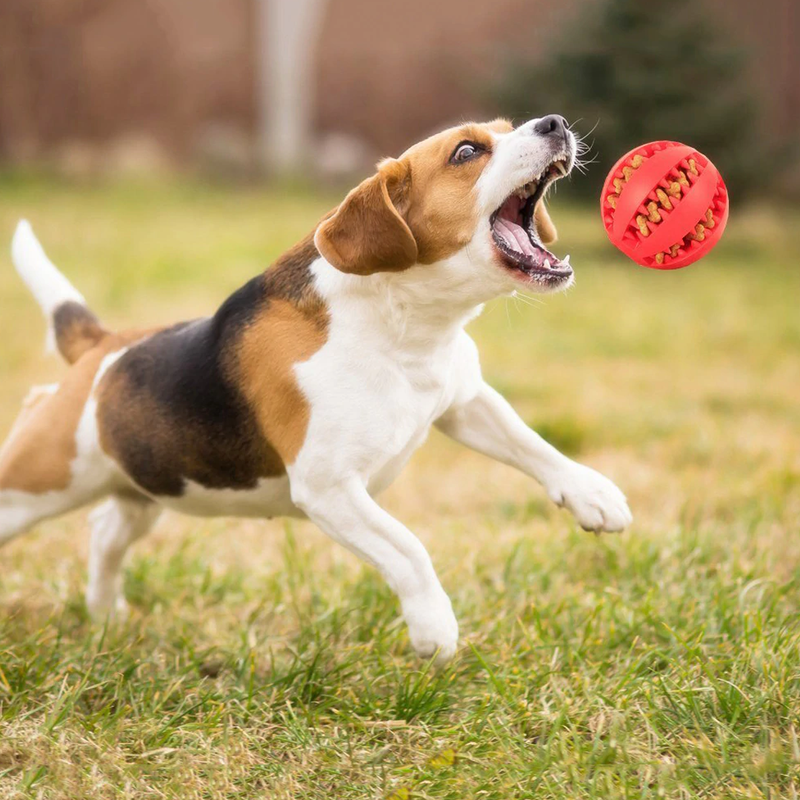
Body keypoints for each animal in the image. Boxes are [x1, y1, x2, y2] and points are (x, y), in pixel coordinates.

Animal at [0, 112, 632, 664]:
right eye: (467, 152)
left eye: (508, 129)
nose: (554, 123)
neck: (405, 327)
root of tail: (101, 348)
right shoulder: (330, 488)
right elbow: (408, 548)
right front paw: (435, 627)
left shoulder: (464, 401)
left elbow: (532, 444)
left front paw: (593, 494)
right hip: (35, 485)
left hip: (149, 487)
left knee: (106, 529)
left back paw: (105, 614)